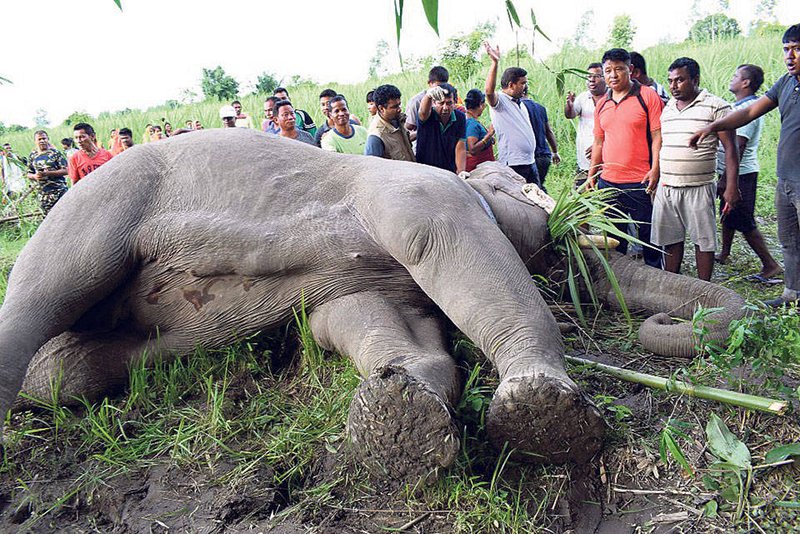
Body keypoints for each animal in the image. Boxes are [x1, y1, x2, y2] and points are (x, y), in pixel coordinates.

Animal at [0, 129, 744, 481]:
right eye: (558, 247)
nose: (669, 317)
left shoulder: (373, 285)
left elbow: (358, 319)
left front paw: (399, 417)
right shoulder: (424, 195)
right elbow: (448, 245)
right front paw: (544, 415)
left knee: (64, 373)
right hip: (98, 204)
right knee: (46, 288)